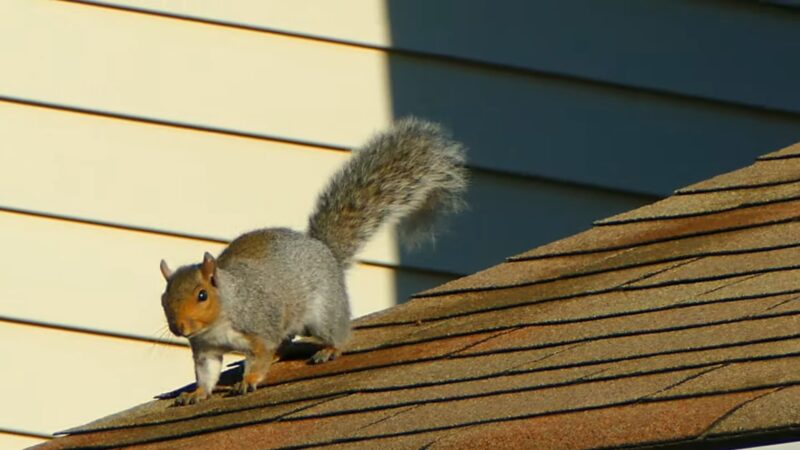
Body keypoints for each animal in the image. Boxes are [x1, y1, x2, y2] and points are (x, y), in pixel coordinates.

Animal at [159, 118, 466, 406]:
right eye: (163, 299)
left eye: (202, 295)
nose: (179, 328)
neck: (220, 318)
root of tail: (324, 250)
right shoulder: (205, 350)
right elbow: (207, 374)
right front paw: (196, 393)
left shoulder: (258, 328)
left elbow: (260, 356)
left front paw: (249, 381)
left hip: (323, 311)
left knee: (336, 333)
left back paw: (330, 349)